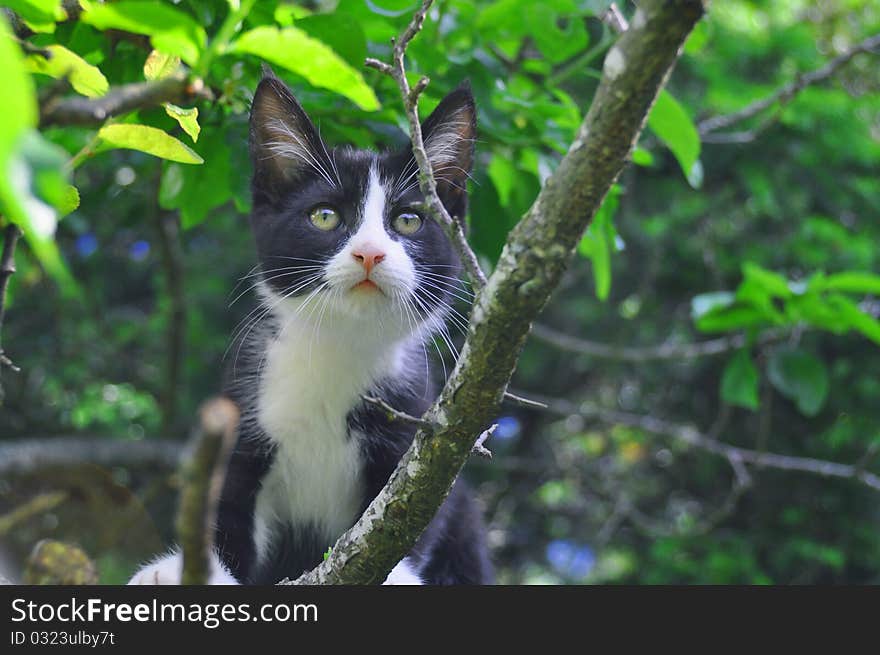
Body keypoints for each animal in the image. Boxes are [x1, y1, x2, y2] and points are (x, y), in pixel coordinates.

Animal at [129, 74, 496, 588]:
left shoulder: (417, 419)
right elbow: (225, 503)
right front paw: (185, 569)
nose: (369, 253)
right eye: (325, 216)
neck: (338, 347)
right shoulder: (247, 405)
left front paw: (398, 575)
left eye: (408, 220)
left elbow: (415, 508)